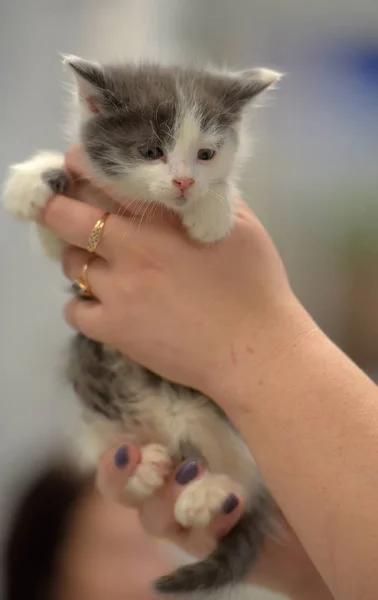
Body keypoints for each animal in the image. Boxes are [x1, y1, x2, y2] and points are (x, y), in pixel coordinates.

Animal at [2, 57, 280, 596]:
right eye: (151, 152)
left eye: (206, 154)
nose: (184, 184)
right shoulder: (74, 252)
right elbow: (53, 237)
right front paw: (33, 177)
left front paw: (213, 209)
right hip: (85, 357)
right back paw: (142, 467)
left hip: (216, 410)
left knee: (248, 477)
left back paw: (211, 489)